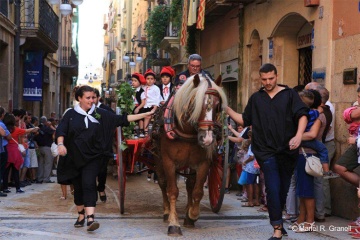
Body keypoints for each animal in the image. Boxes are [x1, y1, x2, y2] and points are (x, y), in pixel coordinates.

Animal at [153, 73, 228, 236]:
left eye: (217, 106)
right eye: (194, 104)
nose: (207, 139)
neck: (186, 130)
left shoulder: (203, 163)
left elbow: (197, 191)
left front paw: (192, 215)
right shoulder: (169, 161)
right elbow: (172, 191)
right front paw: (174, 224)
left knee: (189, 185)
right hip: (158, 160)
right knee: (163, 184)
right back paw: (166, 212)